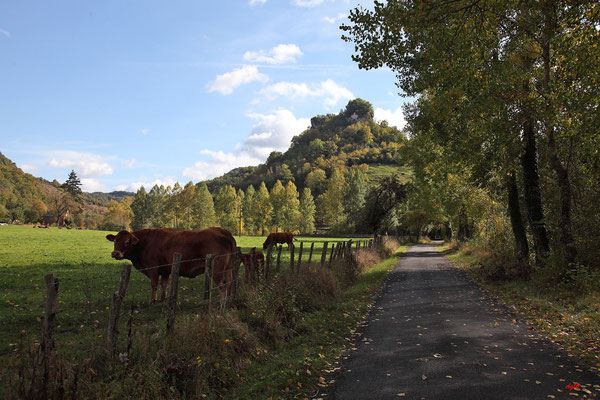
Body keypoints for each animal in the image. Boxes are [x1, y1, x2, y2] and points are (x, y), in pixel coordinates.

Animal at [105, 228, 237, 304]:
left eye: (127, 242)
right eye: (115, 241)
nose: (115, 253)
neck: (143, 243)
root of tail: (224, 232)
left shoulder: (153, 268)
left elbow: (154, 284)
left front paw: (152, 300)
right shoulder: (166, 269)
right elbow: (164, 283)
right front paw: (163, 299)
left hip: (217, 270)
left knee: (222, 286)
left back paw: (221, 304)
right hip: (228, 268)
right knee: (229, 283)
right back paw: (228, 302)